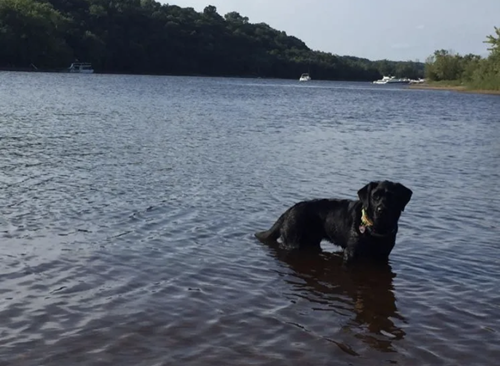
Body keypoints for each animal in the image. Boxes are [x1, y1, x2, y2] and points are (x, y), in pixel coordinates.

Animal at [256, 181, 412, 264]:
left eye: (392, 197)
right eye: (375, 197)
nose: (381, 210)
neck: (376, 229)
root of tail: (289, 210)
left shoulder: (383, 256)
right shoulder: (351, 253)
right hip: (293, 242)